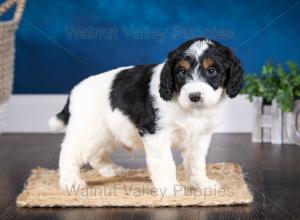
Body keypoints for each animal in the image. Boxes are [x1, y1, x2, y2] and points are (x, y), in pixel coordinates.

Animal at [48, 37, 244, 196]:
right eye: (181, 72)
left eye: (211, 70)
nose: (194, 96)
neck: (189, 109)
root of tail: (75, 90)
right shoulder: (156, 134)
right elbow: (166, 163)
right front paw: (170, 188)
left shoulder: (199, 137)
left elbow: (197, 162)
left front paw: (202, 184)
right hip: (90, 130)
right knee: (69, 152)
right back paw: (71, 182)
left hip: (109, 132)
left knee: (96, 155)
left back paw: (112, 170)